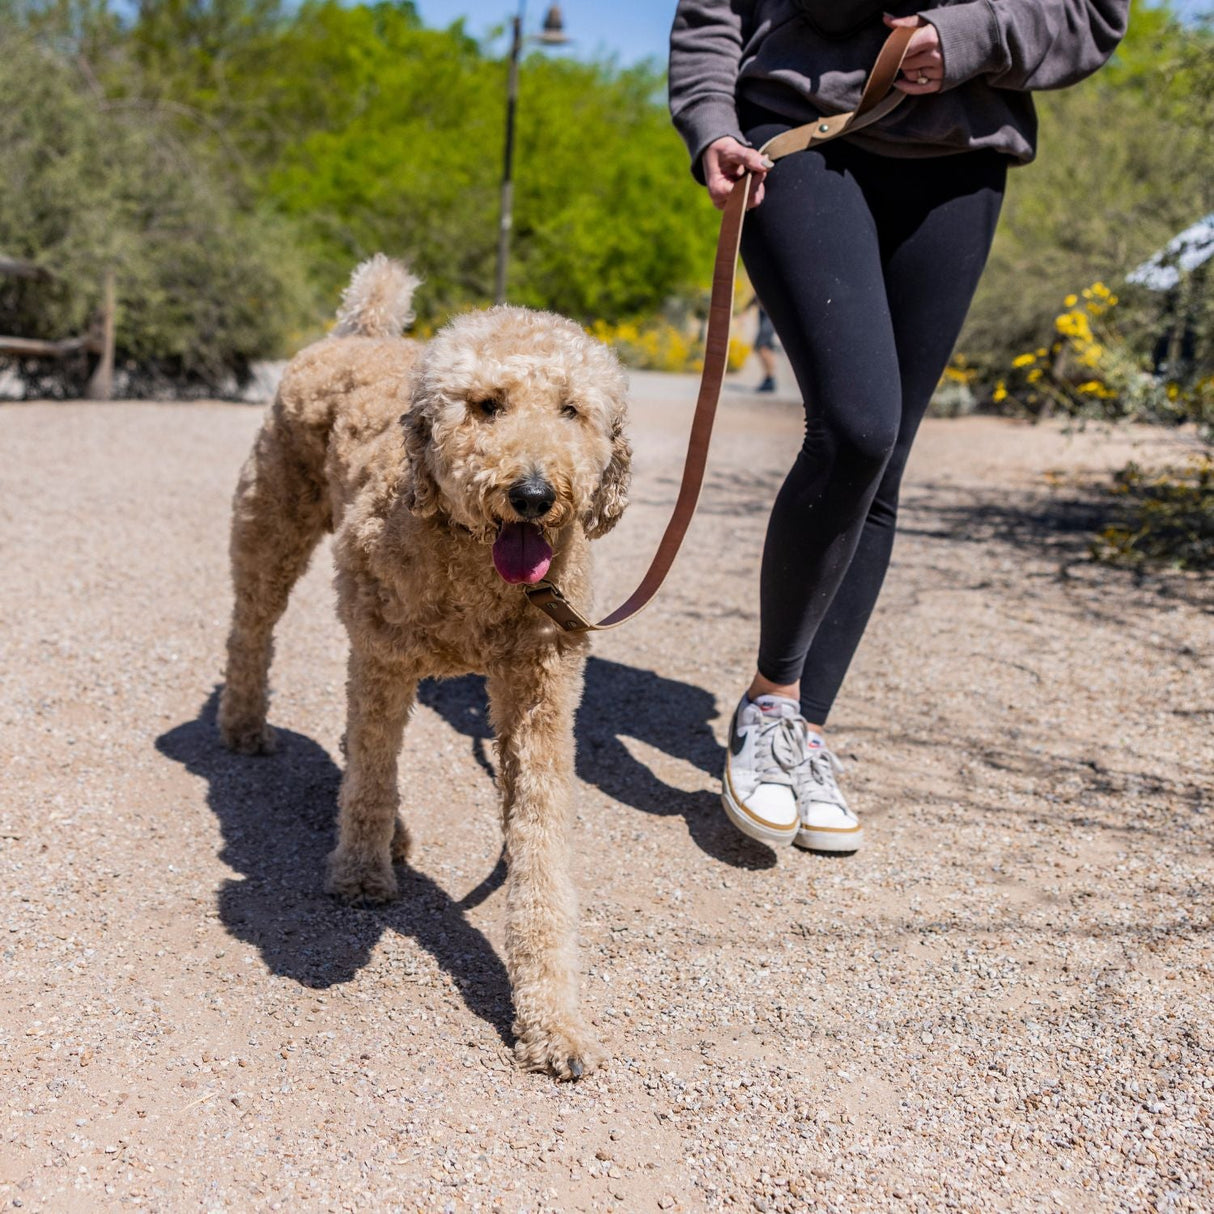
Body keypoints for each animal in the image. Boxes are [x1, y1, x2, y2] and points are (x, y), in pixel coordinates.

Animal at [220, 253, 636, 1073]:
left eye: (572, 410)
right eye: (486, 405)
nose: (533, 494)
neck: (477, 567)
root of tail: (361, 332)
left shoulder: (540, 687)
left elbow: (540, 850)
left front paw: (553, 1022)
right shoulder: (385, 656)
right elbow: (372, 776)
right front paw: (359, 872)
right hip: (272, 524)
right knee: (252, 631)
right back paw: (245, 727)